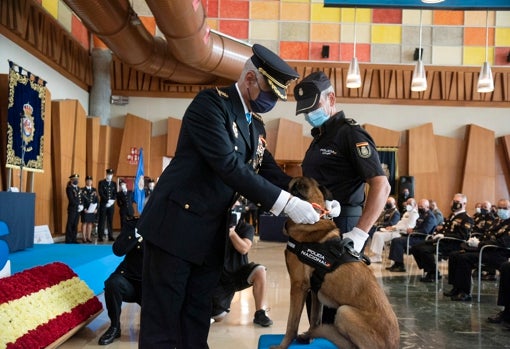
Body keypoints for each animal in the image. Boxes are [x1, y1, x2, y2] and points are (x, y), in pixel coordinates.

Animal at [272, 177, 400, 348]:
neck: (314, 221)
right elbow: (315, 318)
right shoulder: (315, 291)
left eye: (298, 185)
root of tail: (395, 344)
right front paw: (310, 336)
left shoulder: (299, 286)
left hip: (344, 311)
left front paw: (282, 345)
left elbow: (291, 324)